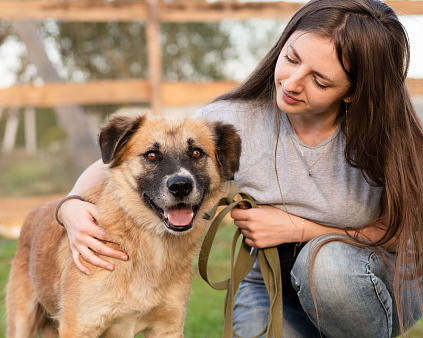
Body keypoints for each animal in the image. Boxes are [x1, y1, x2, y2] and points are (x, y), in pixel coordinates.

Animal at [6, 114, 240, 338]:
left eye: (196, 153)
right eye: (151, 155)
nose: (181, 186)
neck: (149, 245)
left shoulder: (167, 327)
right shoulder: (80, 327)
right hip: (22, 322)